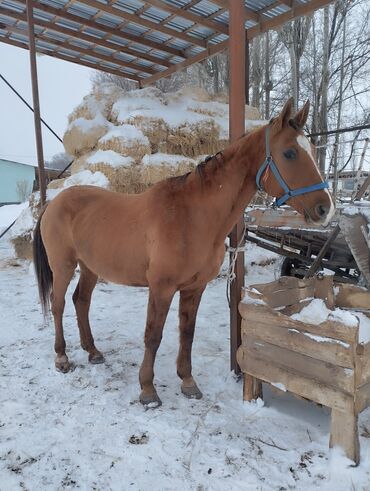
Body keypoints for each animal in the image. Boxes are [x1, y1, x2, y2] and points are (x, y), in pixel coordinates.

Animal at [33, 99, 334, 408]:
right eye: (289, 152)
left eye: (311, 150)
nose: (325, 208)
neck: (192, 215)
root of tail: (52, 203)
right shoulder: (161, 288)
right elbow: (153, 335)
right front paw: (148, 390)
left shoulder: (194, 288)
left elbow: (187, 333)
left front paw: (188, 381)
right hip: (63, 266)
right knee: (58, 305)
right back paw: (62, 357)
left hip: (90, 267)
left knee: (81, 301)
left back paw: (92, 351)